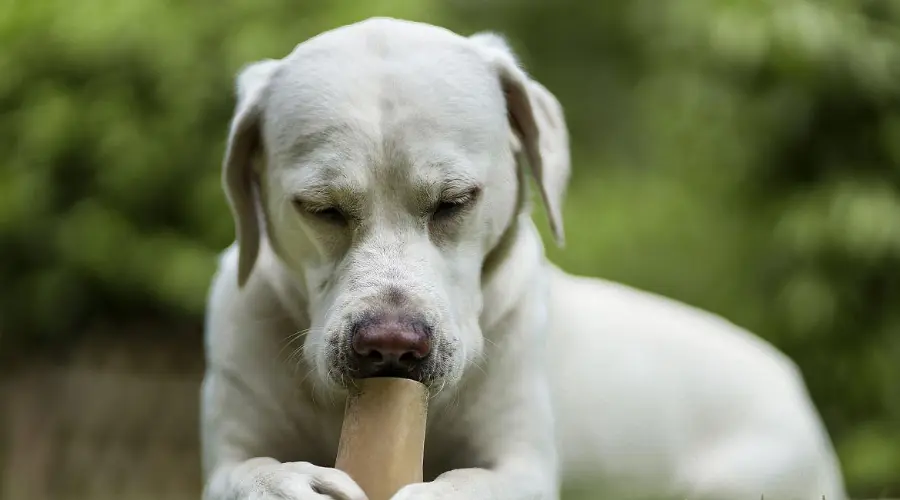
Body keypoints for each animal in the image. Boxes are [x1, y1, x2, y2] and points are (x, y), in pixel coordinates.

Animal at [200, 17, 848, 498]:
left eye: (455, 200)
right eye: (321, 208)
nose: (391, 346)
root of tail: (793, 385)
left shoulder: (522, 463)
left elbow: (475, 483)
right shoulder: (229, 448)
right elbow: (247, 472)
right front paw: (287, 482)